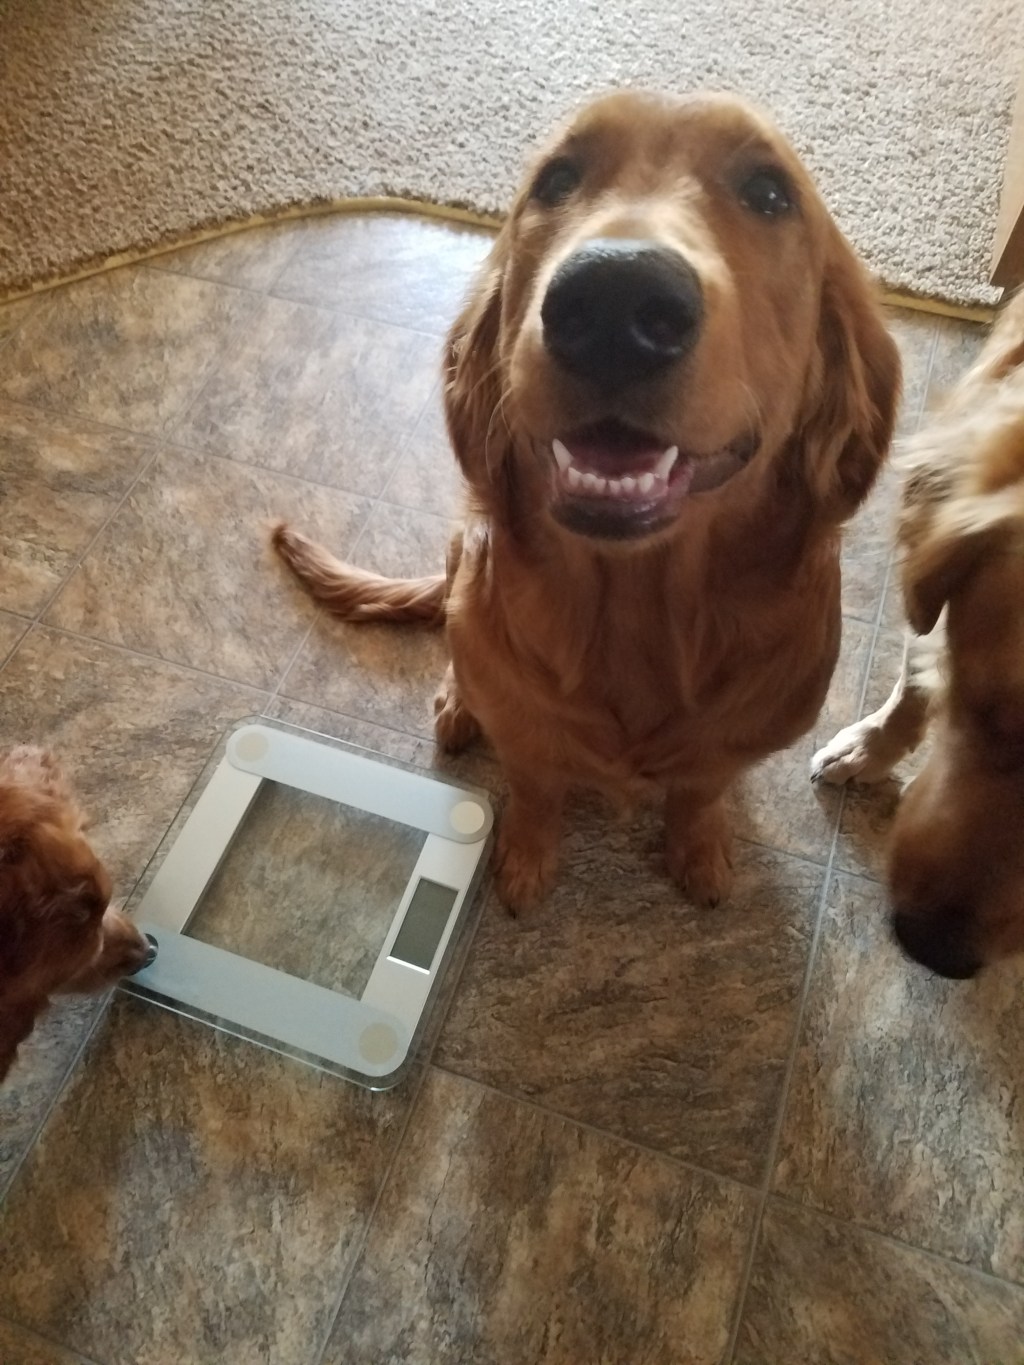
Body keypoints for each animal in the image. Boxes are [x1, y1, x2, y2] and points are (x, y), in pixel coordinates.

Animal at [274, 90, 900, 915]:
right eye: (557, 180)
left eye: (770, 194)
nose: (614, 298)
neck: (637, 611)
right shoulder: (527, 732)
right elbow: (536, 789)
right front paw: (524, 861)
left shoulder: (730, 743)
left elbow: (700, 790)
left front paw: (699, 851)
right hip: (460, 557)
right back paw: (457, 704)